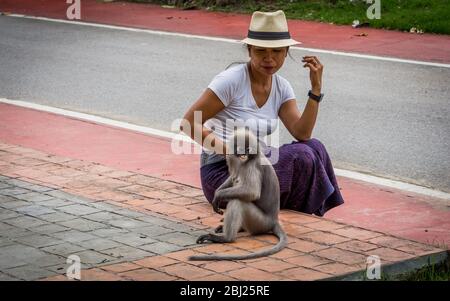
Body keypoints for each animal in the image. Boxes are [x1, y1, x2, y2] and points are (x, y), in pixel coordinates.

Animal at [188, 126, 286, 260]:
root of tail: (274, 220)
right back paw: (238, 229)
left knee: (238, 201)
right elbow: (233, 177)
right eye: (241, 149)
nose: (244, 155)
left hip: (260, 223)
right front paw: (217, 193)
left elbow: (252, 192)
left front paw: (218, 196)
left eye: (248, 150)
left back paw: (226, 238)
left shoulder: (251, 165)